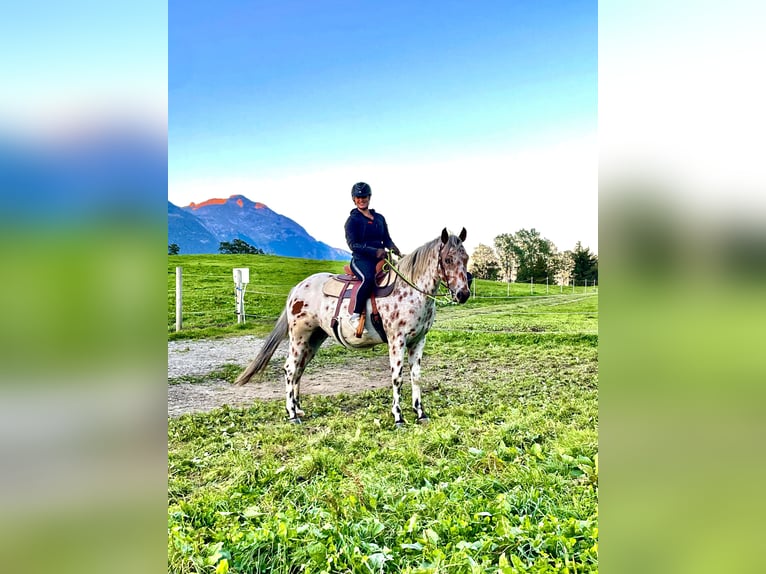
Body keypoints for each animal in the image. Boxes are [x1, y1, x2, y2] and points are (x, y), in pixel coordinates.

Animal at [236, 227, 474, 426]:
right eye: (448, 259)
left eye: (465, 258)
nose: (463, 294)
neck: (409, 291)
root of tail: (298, 288)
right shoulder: (396, 340)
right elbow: (397, 377)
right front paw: (398, 417)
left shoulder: (418, 340)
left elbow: (416, 376)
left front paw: (421, 414)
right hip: (299, 336)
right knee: (290, 369)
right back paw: (292, 414)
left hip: (314, 339)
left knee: (299, 370)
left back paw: (298, 408)